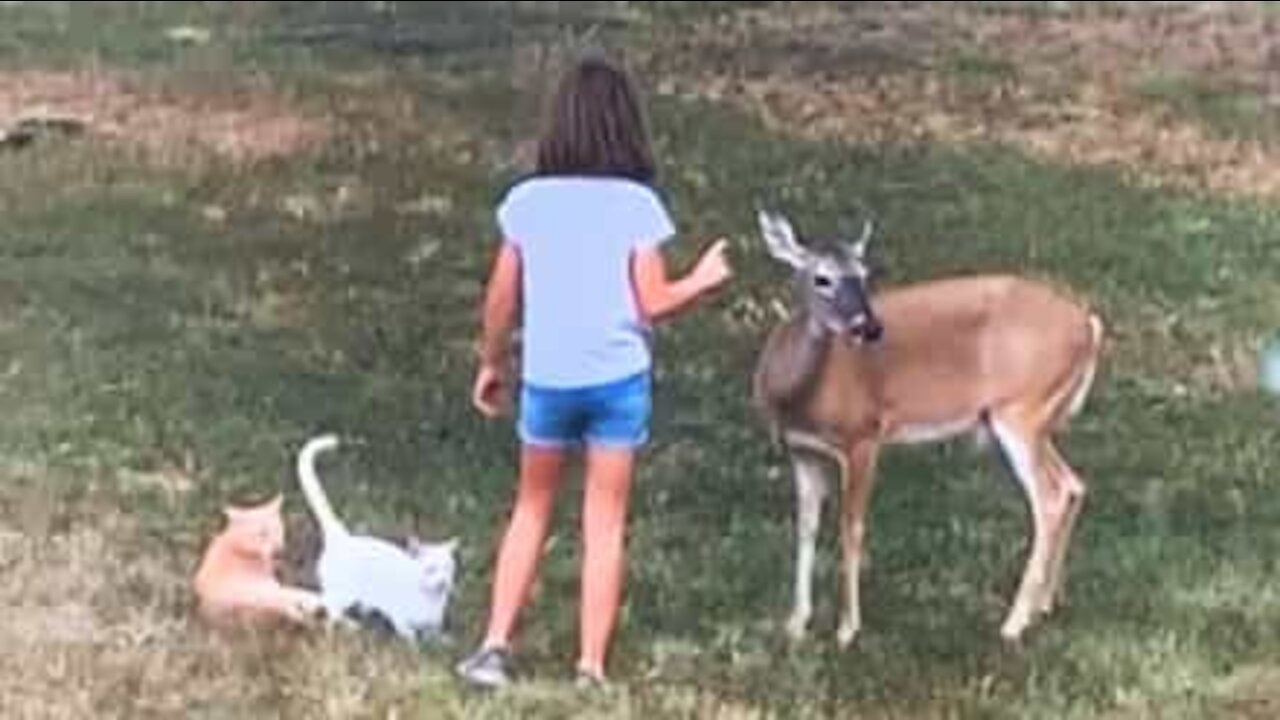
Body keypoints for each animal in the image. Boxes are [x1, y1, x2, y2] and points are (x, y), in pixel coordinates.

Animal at [295, 430, 460, 638]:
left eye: (448, 568)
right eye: (430, 569)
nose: (443, 583)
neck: (430, 601)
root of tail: (343, 537)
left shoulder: (434, 626)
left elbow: (437, 635)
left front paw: (444, 640)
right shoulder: (399, 619)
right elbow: (411, 637)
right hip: (345, 593)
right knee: (330, 607)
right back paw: (348, 625)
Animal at [752, 206, 1105, 645]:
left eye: (864, 273)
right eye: (822, 278)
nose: (870, 326)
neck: (801, 398)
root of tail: (1090, 326)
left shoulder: (864, 434)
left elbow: (851, 527)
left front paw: (847, 629)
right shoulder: (801, 449)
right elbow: (805, 527)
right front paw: (796, 622)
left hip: (1021, 408)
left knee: (1050, 497)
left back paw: (1012, 624)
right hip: (1036, 418)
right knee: (1073, 483)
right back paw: (1045, 604)